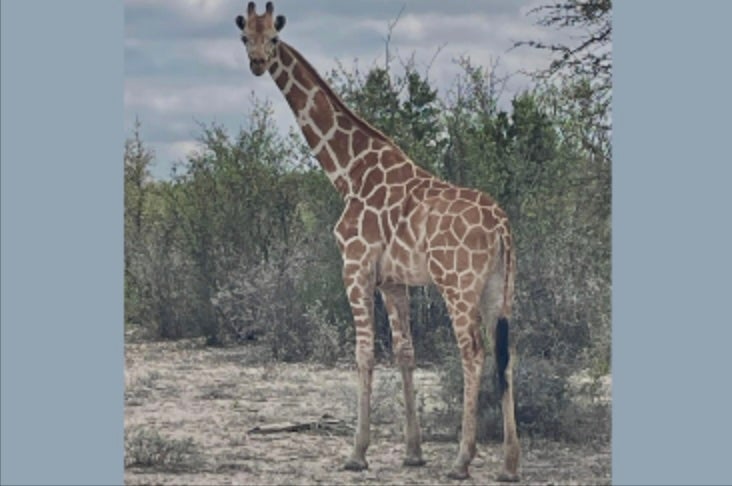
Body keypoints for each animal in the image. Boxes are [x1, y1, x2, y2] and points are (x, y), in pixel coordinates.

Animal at [235, 2, 520, 481]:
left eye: (273, 37)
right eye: (244, 37)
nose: (256, 63)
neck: (348, 172)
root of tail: (501, 226)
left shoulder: (355, 266)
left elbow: (364, 353)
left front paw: (357, 453)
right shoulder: (393, 280)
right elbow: (405, 352)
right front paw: (413, 452)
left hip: (457, 284)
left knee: (473, 352)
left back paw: (462, 460)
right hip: (499, 287)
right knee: (505, 353)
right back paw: (510, 464)